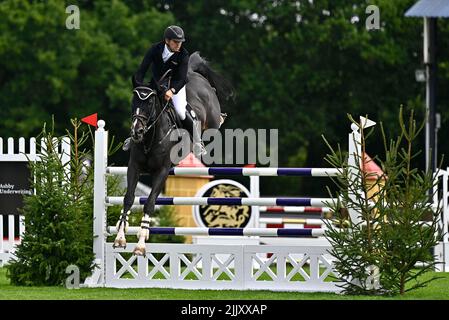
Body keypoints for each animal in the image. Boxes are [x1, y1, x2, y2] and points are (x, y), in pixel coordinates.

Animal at [113, 51, 234, 255]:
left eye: (150, 102)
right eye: (133, 101)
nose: (136, 132)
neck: (151, 137)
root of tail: (192, 72)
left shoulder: (162, 171)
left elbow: (150, 202)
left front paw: (140, 244)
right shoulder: (134, 167)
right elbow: (128, 198)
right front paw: (120, 238)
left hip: (210, 117)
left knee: (214, 119)